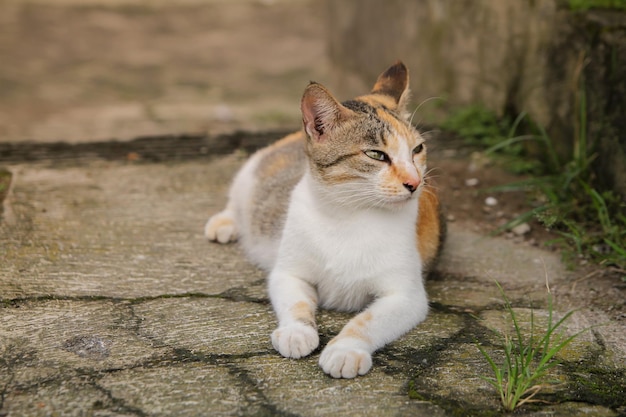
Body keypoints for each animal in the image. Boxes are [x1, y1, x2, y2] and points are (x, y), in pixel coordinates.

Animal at [202, 61, 442, 376]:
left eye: (417, 150)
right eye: (376, 154)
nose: (415, 182)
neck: (348, 214)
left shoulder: (407, 296)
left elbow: (368, 321)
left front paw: (345, 349)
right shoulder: (288, 272)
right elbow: (295, 302)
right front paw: (297, 332)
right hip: (253, 171)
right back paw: (225, 223)